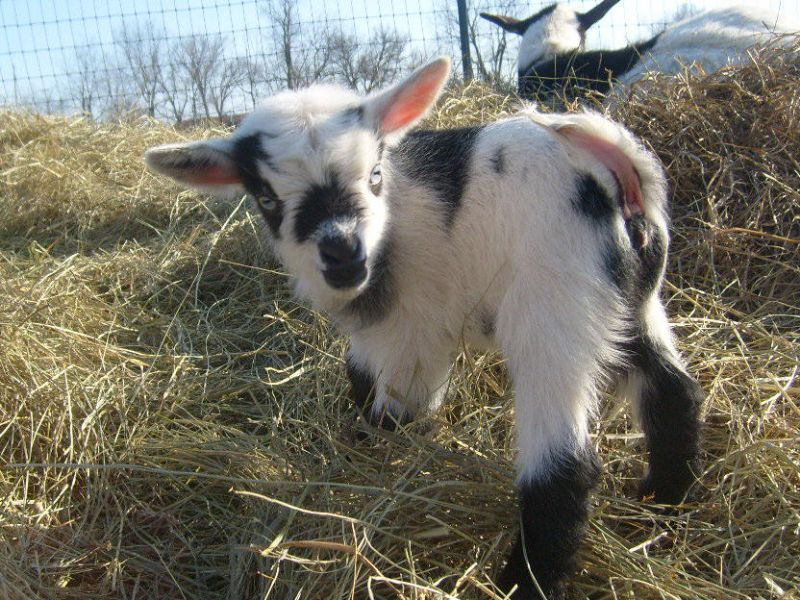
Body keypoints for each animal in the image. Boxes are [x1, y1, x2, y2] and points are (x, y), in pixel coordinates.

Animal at [144, 57, 704, 599]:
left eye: (374, 174)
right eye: (265, 198)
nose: (342, 252)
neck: (392, 225)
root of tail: (617, 176)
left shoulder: (417, 335)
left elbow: (397, 410)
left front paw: (370, 449)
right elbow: (357, 372)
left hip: (554, 313)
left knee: (564, 465)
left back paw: (522, 581)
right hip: (630, 304)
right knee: (674, 392)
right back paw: (663, 502)